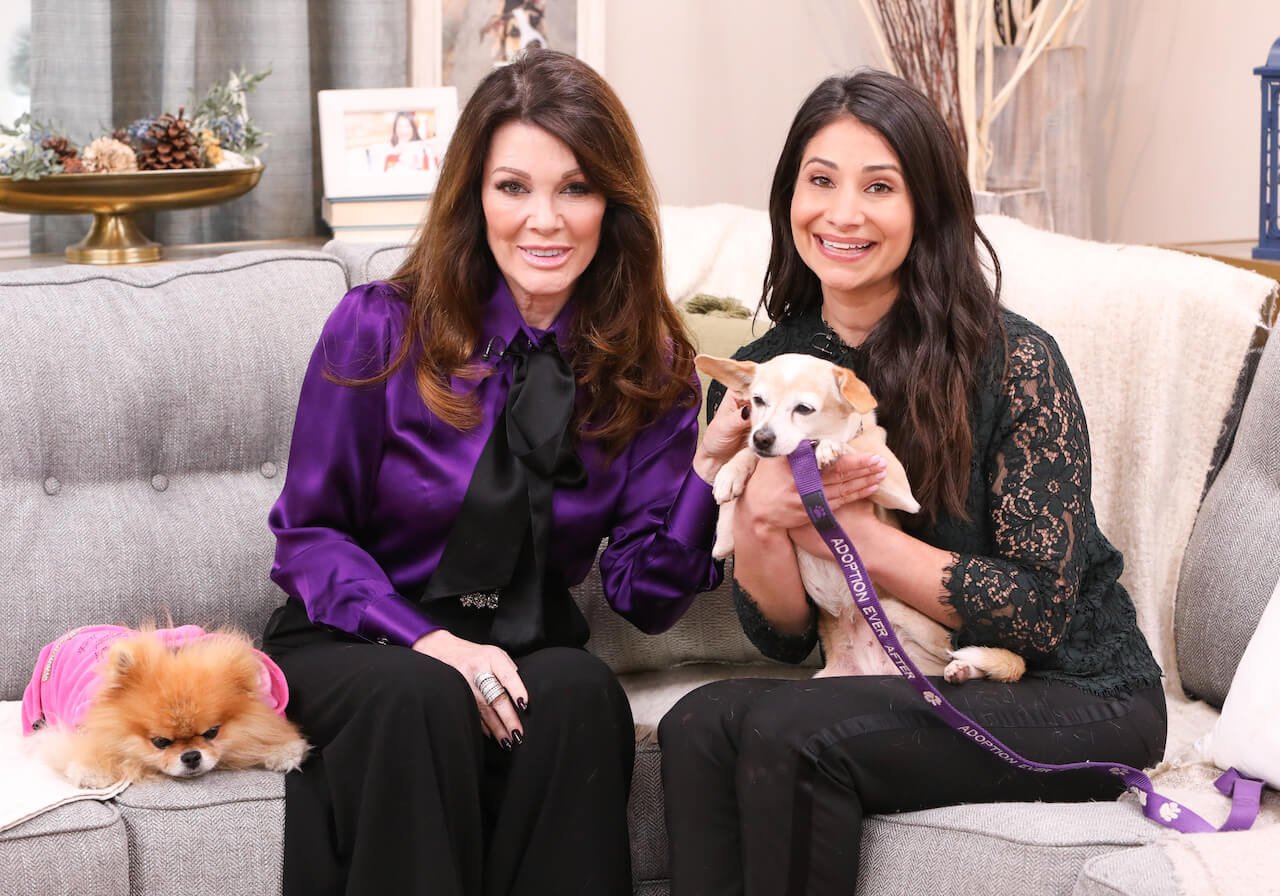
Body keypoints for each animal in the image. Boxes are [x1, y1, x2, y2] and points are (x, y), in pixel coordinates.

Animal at [696, 353, 1024, 680]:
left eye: (804, 409)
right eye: (757, 401)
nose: (762, 438)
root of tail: (883, 669)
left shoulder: (901, 491)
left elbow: (847, 445)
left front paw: (829, 445)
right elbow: (741, 481)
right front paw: (730, 479)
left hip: (903, 617)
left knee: (956, 653)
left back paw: (965, 667)